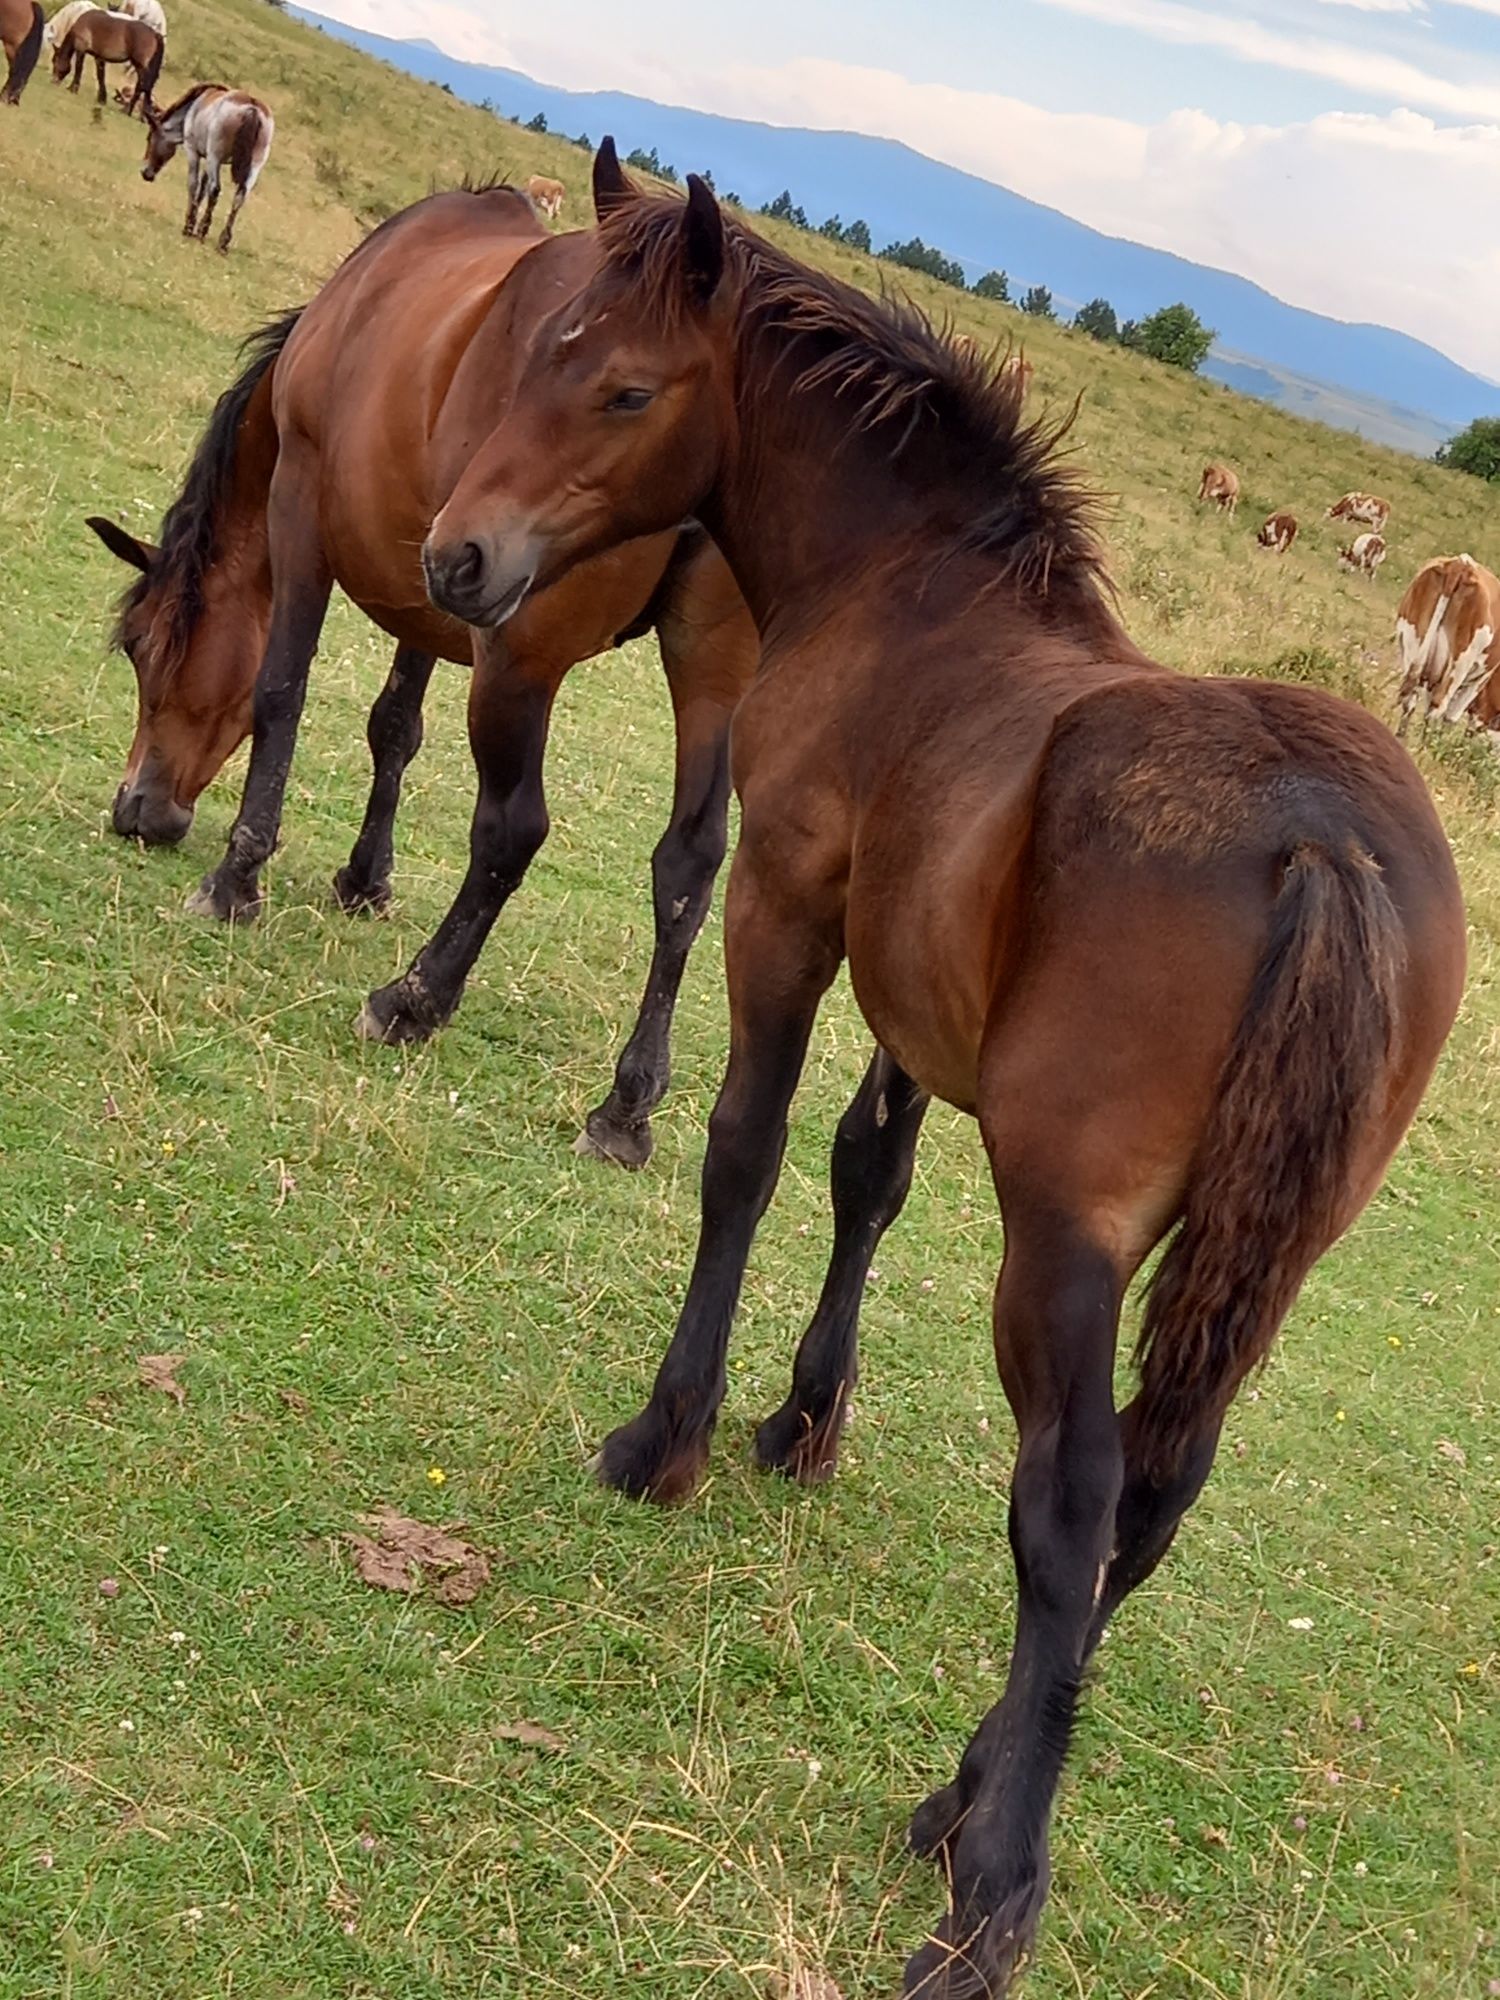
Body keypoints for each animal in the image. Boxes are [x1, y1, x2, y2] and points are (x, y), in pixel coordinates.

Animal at [88, 184, 756, 1168]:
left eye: (141, 648)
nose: (135, 809)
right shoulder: (434, 577)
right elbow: (394, 726)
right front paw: (365, 879)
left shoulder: (301, 508)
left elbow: (280, 690)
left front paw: (237, 879)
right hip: (709, 669)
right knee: (689, 866)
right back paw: (626, 1104)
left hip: (520, 661)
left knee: (514, 829)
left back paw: (416, 999)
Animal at [424, 141, 1472, 2000]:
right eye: (540, 347)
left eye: (619, 383)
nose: (458, 558)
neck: (913, 596)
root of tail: (1326, 841)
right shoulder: (918, 1014)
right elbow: (866, 1173)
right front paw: (799, 1420)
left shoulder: (784, 909)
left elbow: (746, 1153)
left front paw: (670, 1434)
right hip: (1262, 1265)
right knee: (1155, 1500)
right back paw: (953, 1798)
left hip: (1064, 1242)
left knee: (1073, 1507)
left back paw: (990, 1892)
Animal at [1400, 548, 1500, 736]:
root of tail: (1461, 564)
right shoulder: (1480, 680)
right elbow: (1451, 717)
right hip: (1460, 664)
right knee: (1437, 707)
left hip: (1411, 645)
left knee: (1409, 698)